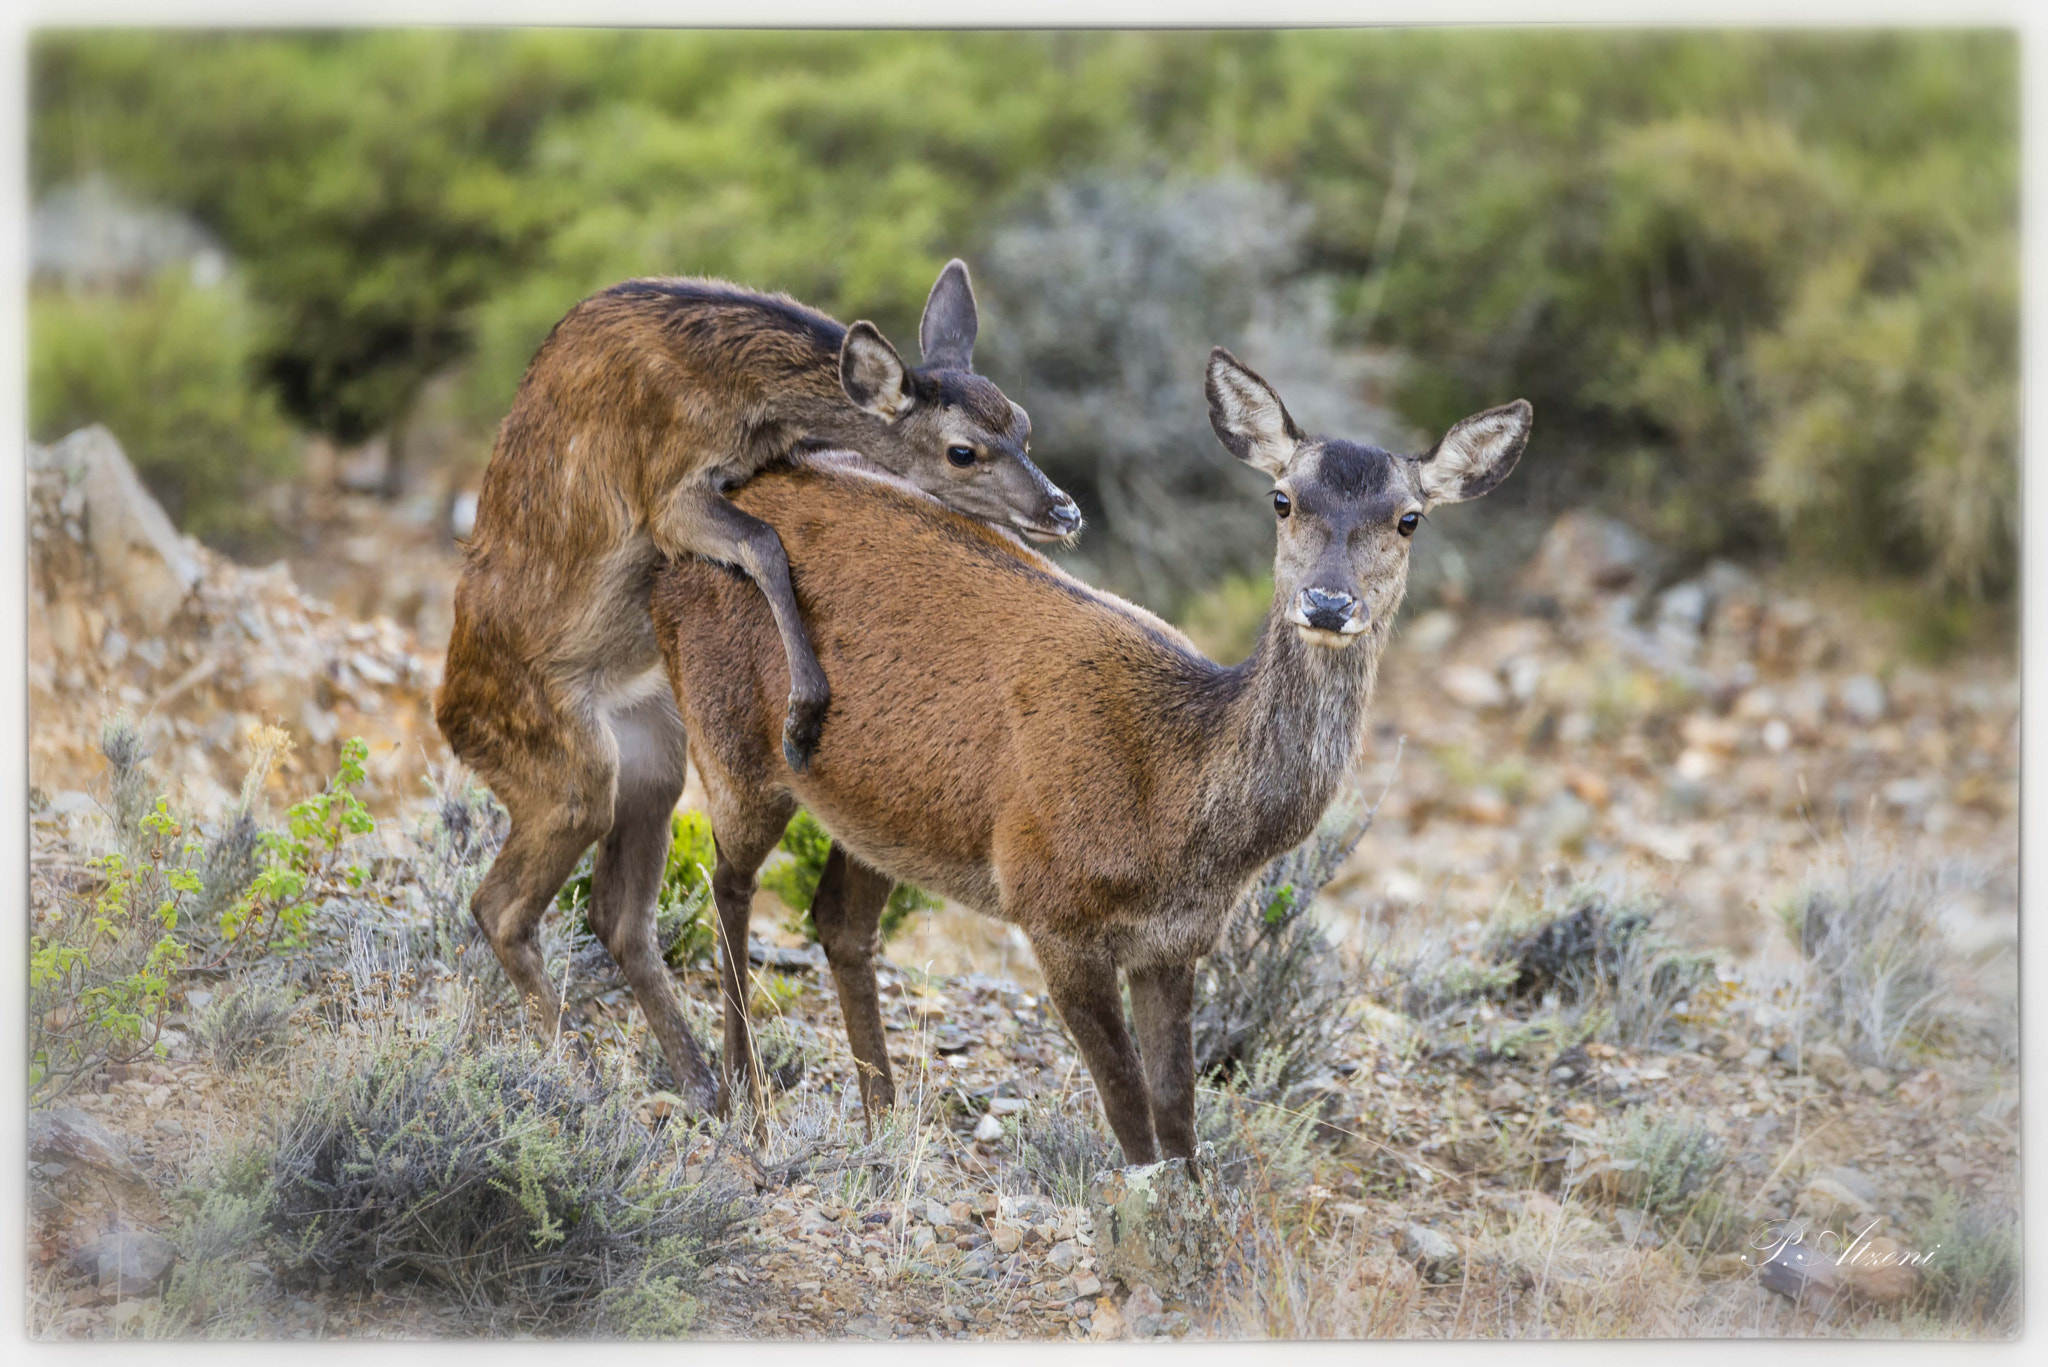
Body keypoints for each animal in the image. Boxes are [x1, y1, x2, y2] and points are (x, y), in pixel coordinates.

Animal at [434, 261, 1079, 1111]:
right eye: (962, 450)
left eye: (1024, 423)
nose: (1063, 509)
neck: (741, 393)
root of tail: (449, 719)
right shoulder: (668, 492)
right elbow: (769, 545)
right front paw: (805, 714)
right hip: (562, 765)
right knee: (499, 906)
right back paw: (584, 1071)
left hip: (654, 754)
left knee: (617, 916)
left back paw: (700, 1079)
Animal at [648, 346, 1532, 1159]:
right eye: (1282, 498)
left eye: (1409, 518)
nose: (1327, 601)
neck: (1176, 813)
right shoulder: (1050, 902)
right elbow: (1130, 1112)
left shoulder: (1177, 940)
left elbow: (1177, 1113)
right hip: (732, 738)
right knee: (724, 887)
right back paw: (743, 1096)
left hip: (884, 808)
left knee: (838, 920)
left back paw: (884, 1120)